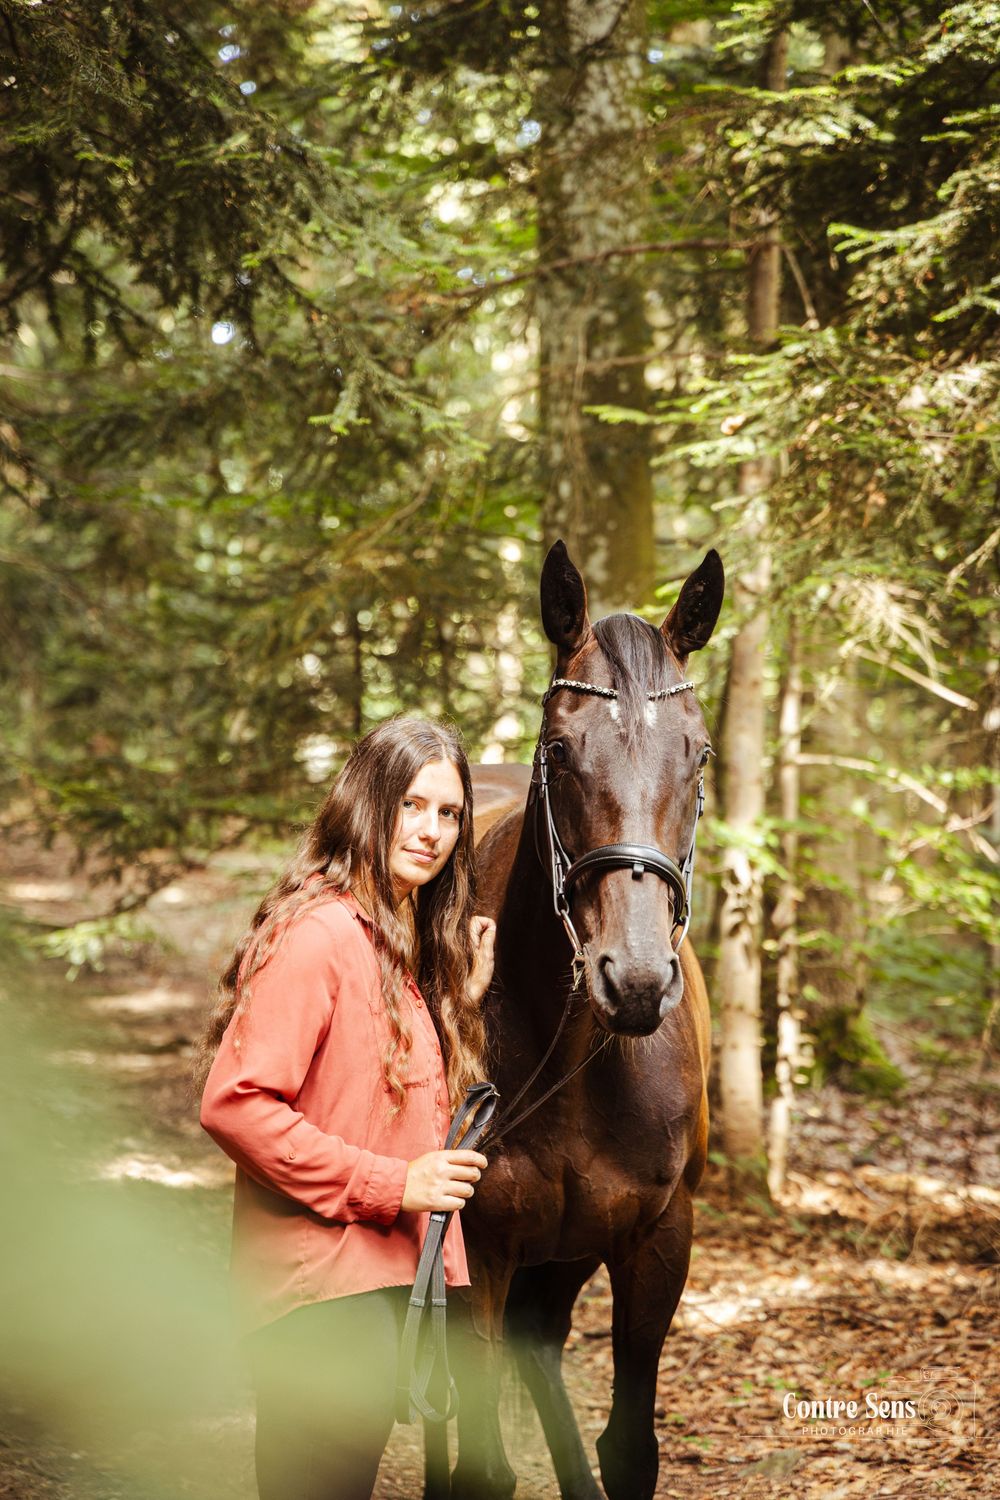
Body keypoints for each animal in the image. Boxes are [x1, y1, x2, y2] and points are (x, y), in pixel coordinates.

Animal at [440, 538, 724, 1500]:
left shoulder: (657, 1237)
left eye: (699, 756)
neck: (575, 1053)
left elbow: (629, 1448)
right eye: (560, 751)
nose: (633, 980)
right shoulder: (477, 1249)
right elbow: (480, 1463)